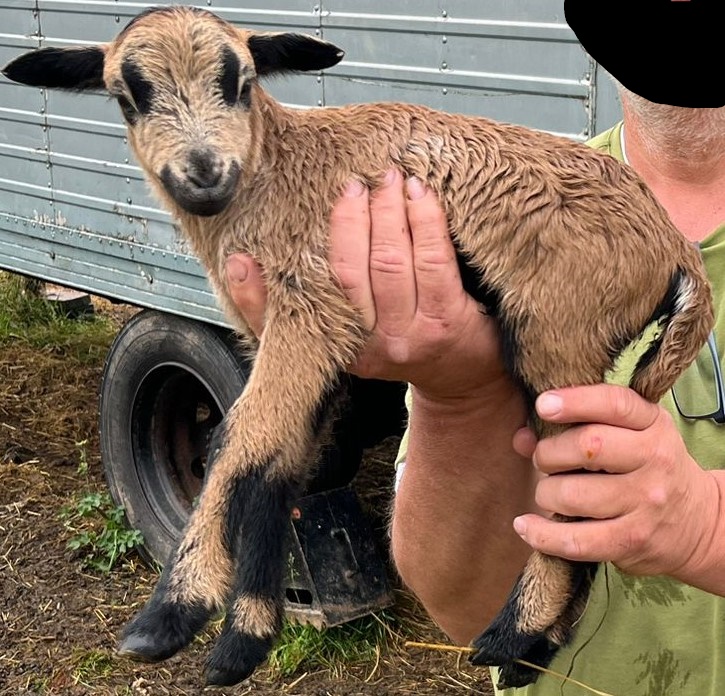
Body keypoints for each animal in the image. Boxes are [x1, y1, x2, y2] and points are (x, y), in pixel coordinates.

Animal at [2, 5, 713, 689]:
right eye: (130, 96)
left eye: (239, 82)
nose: (204, 175)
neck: (274, 170)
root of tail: (672, 250)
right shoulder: (301, 342)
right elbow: (282, 463)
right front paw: (243, 642)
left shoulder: (311, 307)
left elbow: (238, 437)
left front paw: (170, 616)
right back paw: (534, 654)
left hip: (558, 332)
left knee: (581, 482)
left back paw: (513, 634)